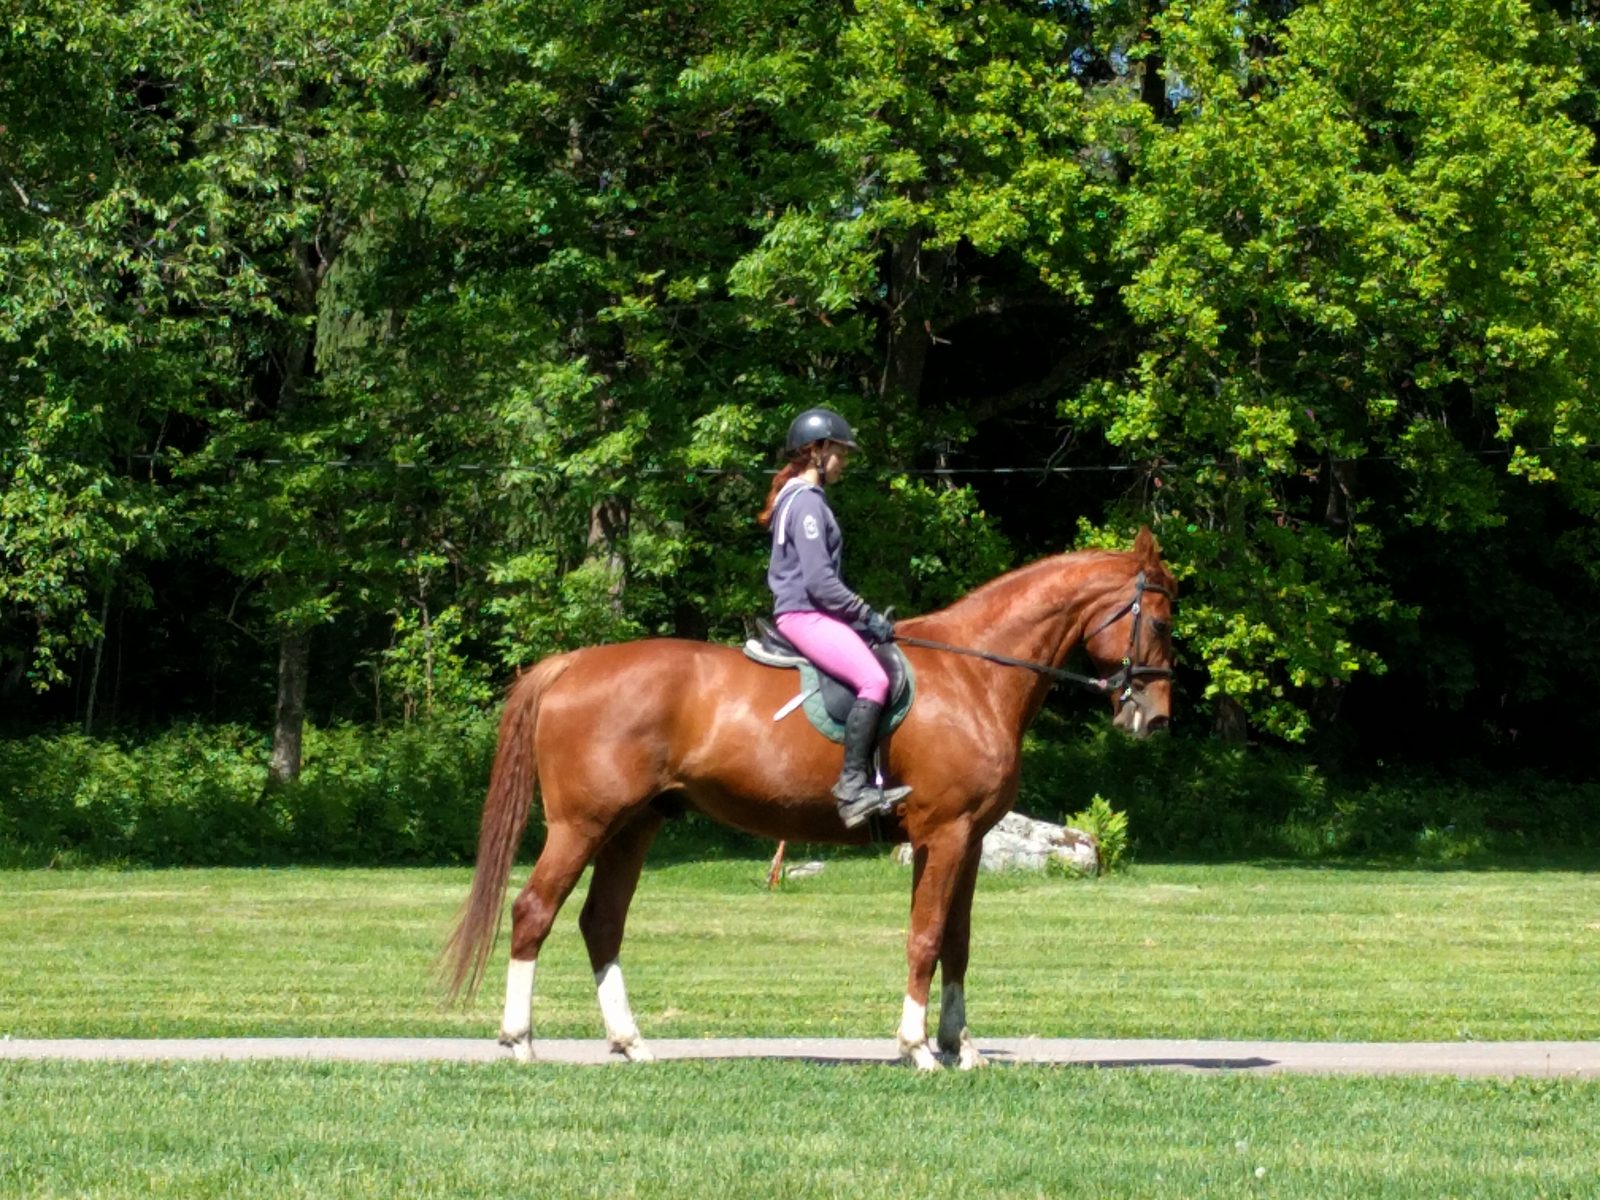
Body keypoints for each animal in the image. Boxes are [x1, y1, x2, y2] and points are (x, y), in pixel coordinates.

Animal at [441, 526, 1177, 1070]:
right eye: (1164, 623)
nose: (1156, 720)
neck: (973, 673)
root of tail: (570, 663)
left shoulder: (963, 842)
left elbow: (957, 942)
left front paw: (958, 1046)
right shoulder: (946, 833)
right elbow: (926, 938)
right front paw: (917, 1048)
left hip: (633, 826)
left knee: (601, 923)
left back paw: (630, 1042)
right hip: (582, 824)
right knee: (534, 911)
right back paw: (520, 1041)